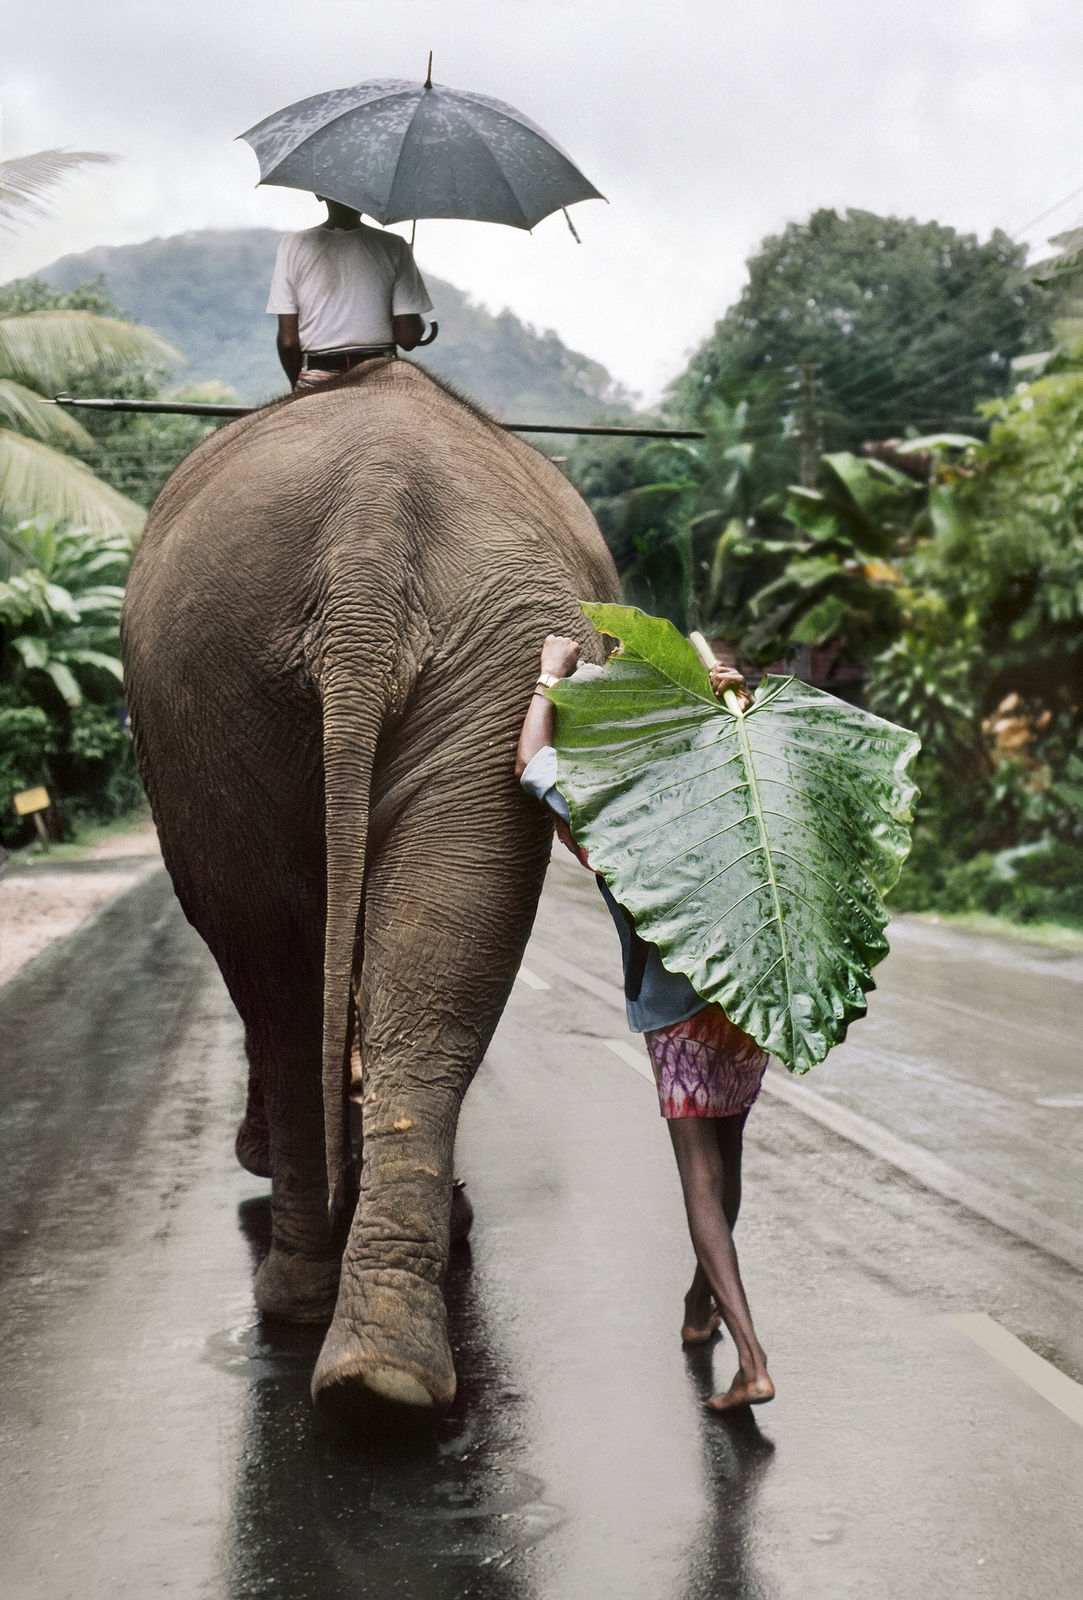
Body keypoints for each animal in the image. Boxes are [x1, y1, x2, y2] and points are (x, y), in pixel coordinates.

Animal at [121, 357, 619, 1416]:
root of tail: (370, 517)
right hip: (250, 664)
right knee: (329, 969)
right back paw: (372, 1361)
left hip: (274, 659)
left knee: (283, 968)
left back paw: (343, 1333)